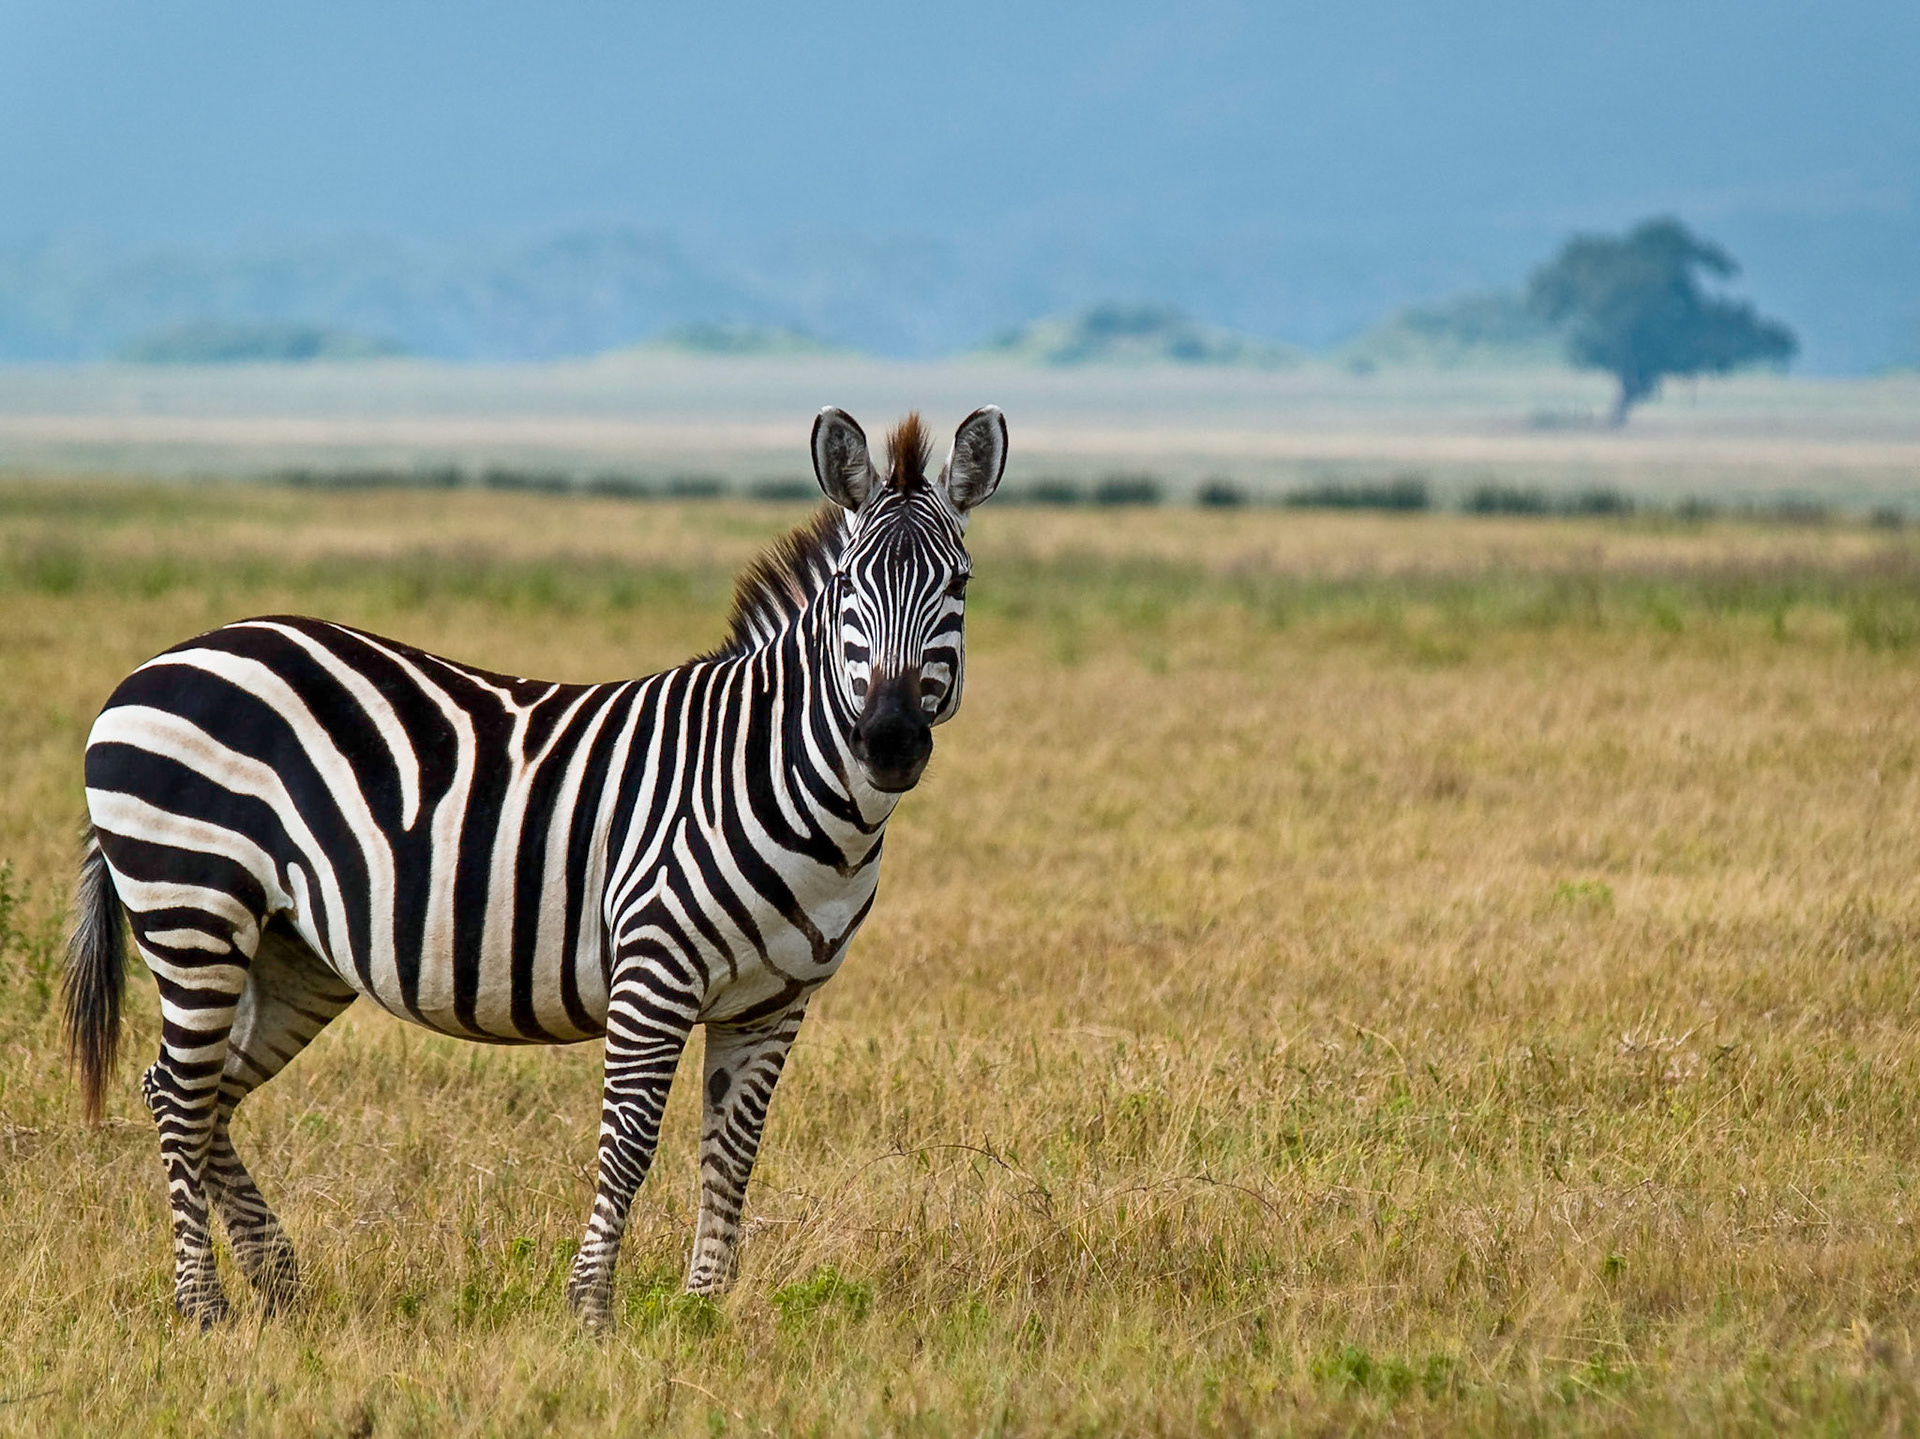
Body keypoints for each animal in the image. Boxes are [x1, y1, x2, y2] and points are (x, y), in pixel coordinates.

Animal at [62, 405, 1007, 1329]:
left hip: (294, 952)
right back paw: (203, 1305)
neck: (777, 776)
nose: (889, 742)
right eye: (849, 588)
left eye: (959, 586)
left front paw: (704, 1313)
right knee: (180, 1097)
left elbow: (732, 1153)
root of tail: (163, 662)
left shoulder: (774, 1002)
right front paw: (591, 1311)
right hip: (192, 904)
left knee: (202, 1092)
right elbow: (629, 1143)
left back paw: (278, 1281)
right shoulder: (654, 970)